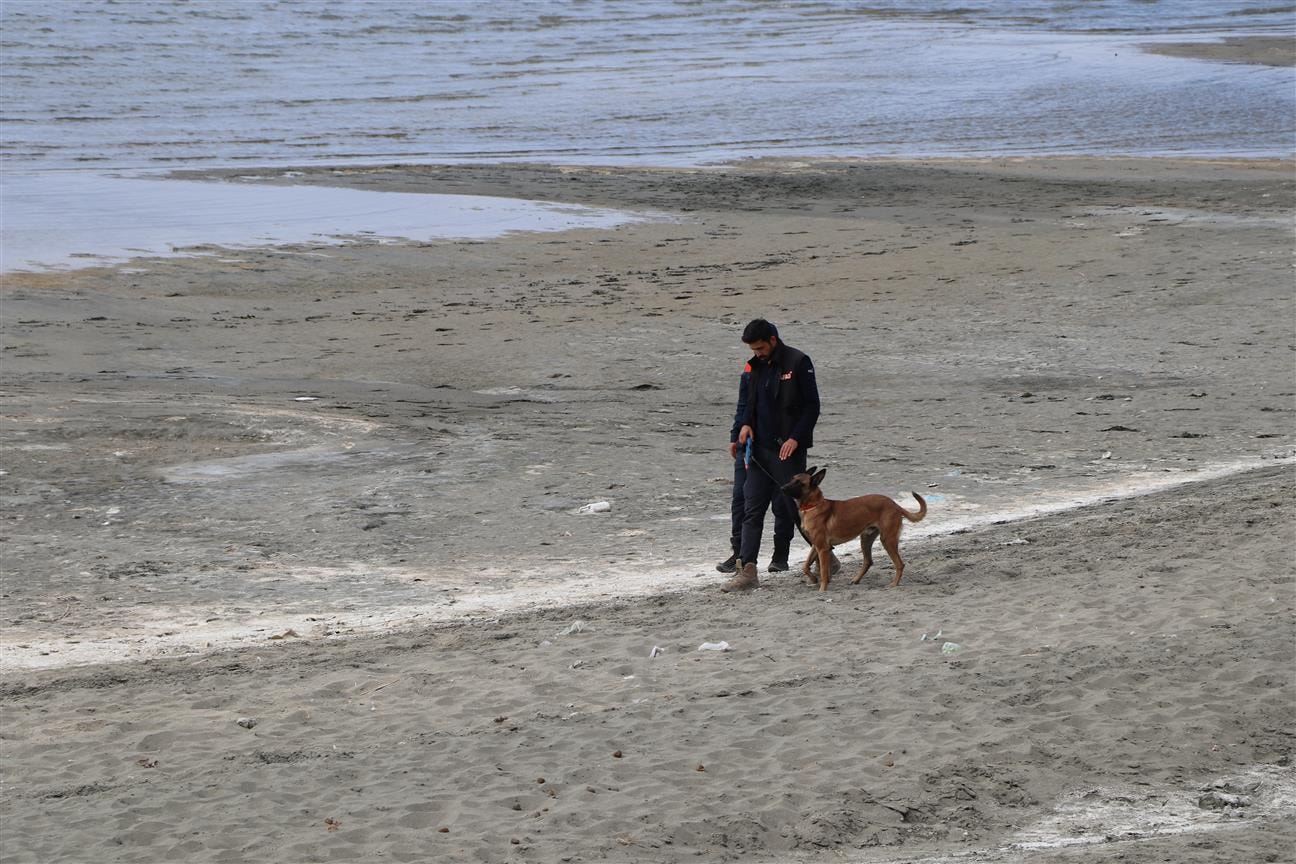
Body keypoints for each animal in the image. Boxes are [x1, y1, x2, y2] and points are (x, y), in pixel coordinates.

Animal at [782, 466, 927, 595]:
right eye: (792, 479)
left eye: (799, 483)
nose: (782, 487)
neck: (813, 505)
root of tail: (894, 504)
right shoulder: (815, 545)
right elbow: (805, 566)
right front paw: (813, 579)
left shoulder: (822, 548)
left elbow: (823, 572)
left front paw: (822, 589)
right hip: (866, 539)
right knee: (868, 561)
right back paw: (856, 580)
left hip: (887, 540)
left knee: (900, 564)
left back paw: (894, 584)